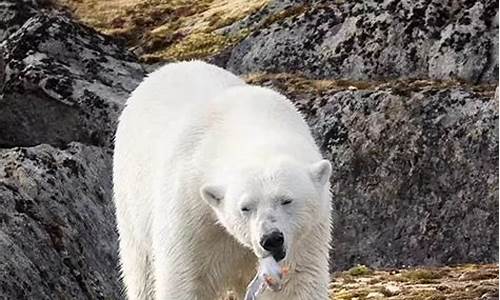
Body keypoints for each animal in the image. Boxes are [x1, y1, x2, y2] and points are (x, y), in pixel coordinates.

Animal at [113, 61, 332, 300]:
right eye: (245, 207)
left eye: (286, 200)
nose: (271, 239)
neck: (248, 126)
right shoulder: (191, 213)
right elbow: (184, 281)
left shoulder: (308, 233)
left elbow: (297, 282)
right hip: (131, 197)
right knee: (141, 271)